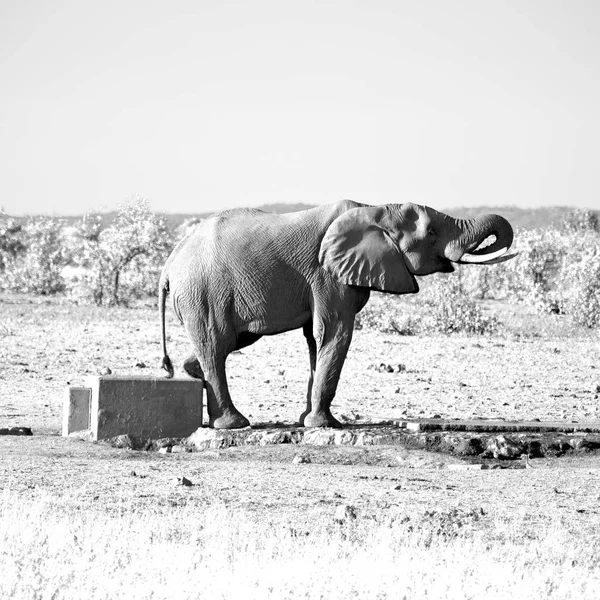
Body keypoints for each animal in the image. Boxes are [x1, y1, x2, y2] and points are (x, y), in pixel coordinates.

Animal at [161, 199, 516, 428]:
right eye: (430, 234)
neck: (375, 209)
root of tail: (168, 264)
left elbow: (315, 340)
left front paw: (308, 422)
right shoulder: (327, 274)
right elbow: (334, 332)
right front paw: (327, 426)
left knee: (228, 342)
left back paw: (192, 372)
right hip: (203, 292)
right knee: (216, 343)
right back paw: (233, 424)